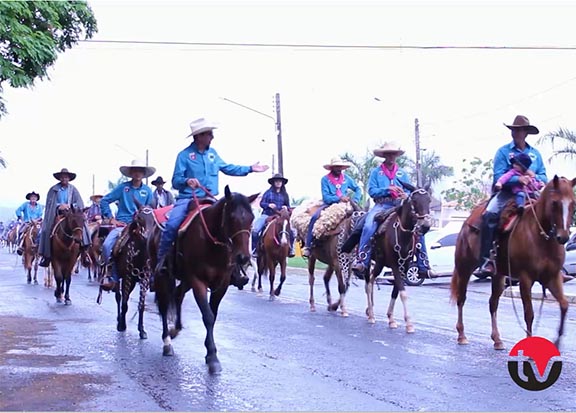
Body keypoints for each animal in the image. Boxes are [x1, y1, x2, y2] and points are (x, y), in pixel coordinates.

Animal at [110, 203, 154, 338]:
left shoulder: (145, 278)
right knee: (119, 297)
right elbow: (124, 303)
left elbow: (141, 305)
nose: (147, 236)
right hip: (119, 277)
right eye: (139, 217)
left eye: (153, 219)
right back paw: (119, 319)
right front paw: (121, 325)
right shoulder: (127, 277)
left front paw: (142, 330)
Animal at [155, 185, 258, 372]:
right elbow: (208, 316)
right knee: (165, 305)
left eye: (251, 218)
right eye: (231, 217)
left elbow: (213, 315)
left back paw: (176, 329)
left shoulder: (222, 284)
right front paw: (212, 357)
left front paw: (210, 353)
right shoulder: (198, 281)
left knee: (178, 295)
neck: (213, 244)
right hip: (163, 278)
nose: (243, 257)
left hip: (185, 280)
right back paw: (167, 342)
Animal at [362, 185, 430, 334]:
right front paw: (409, 323)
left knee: (371, 280)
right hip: (373, 262)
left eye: (429, 200)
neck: (402, 233)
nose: (425, 226)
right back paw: (371, 315)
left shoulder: (405, 266)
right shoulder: (394, 265)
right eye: (414, 201)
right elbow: (403, 292)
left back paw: (370, 311)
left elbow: (396, 291)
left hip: (379, 263)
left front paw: (391, 319)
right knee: (368, 283)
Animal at [450, 175, 576, 350]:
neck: (541, 238)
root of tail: (466, 223)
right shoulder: (525, 278)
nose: (563, 237)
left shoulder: (553, 277)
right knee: (461, 298)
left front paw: (557, 342)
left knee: (493, 303)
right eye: (555, 203)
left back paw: (497, 339)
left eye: (573, 203)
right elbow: (529, 314)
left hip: (498, 275)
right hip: (464, 268)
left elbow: (564, 305)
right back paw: (462, 335)